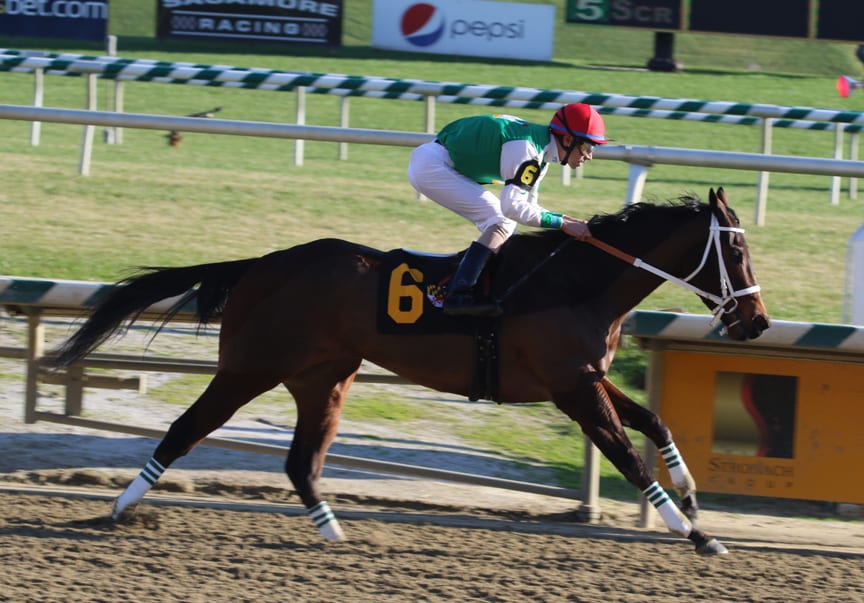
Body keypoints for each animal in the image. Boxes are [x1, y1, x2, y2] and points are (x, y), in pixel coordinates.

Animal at [50, 188, 768, 556]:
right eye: (735, 249)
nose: (756, 323)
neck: (573, 284)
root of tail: (262, 264)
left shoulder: (585, 376)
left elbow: (654, 420)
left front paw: (692, 490)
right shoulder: (571, 386)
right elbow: (627, 454)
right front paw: (696, 532)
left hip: (324, 376)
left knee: (300, 462)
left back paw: (334, 531)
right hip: (251, 365)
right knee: (185, 428)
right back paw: (120, 509)